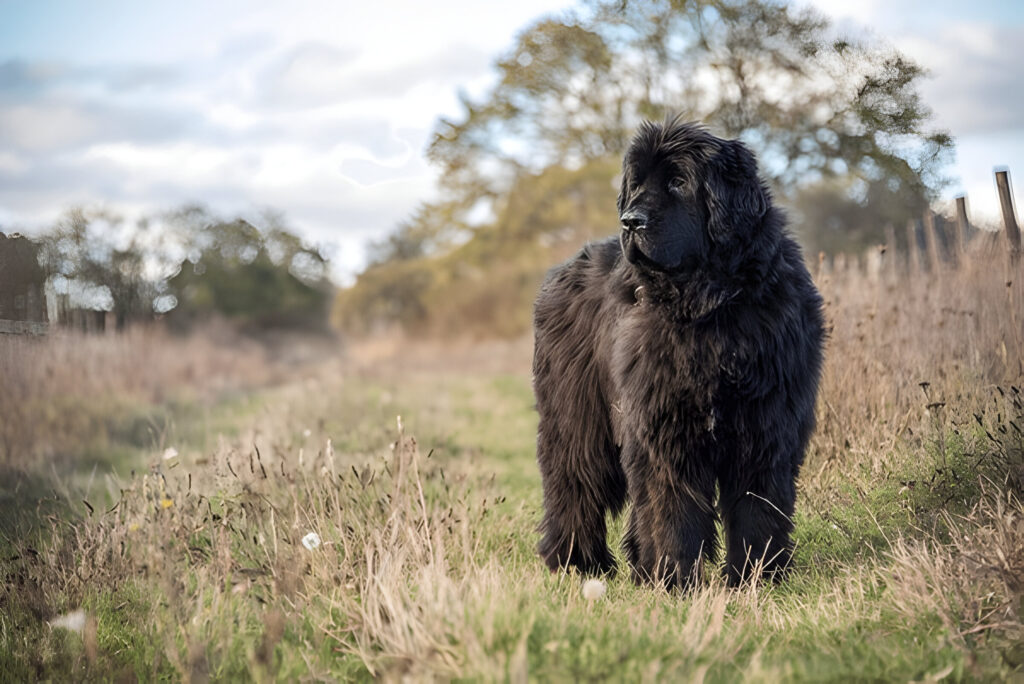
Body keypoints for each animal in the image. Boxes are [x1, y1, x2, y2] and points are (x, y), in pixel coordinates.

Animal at [536, 117, 823, 589]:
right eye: (637, 184)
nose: (630, 221)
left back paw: (636, 568)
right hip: (577, 420)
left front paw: (756, 578)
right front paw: (676, 580)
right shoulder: (665, 427)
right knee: (574, 486)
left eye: (678, 182)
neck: (710, 309)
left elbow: (757, 507)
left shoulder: (766, 424)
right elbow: (674, 510)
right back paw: (578, 563)